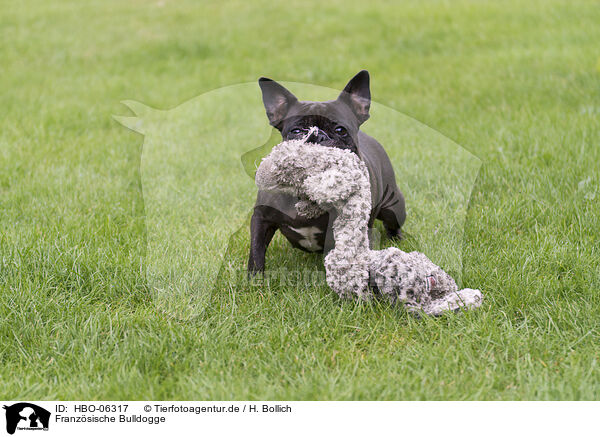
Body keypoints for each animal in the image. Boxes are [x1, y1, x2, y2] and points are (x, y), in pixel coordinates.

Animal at [246, 71, 406, 274]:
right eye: (296, 131)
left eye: (340, 130)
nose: (317, 135)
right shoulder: (261, 219)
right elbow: (256, 250)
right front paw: (255, 278)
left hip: (394, 206)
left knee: (392, 223)